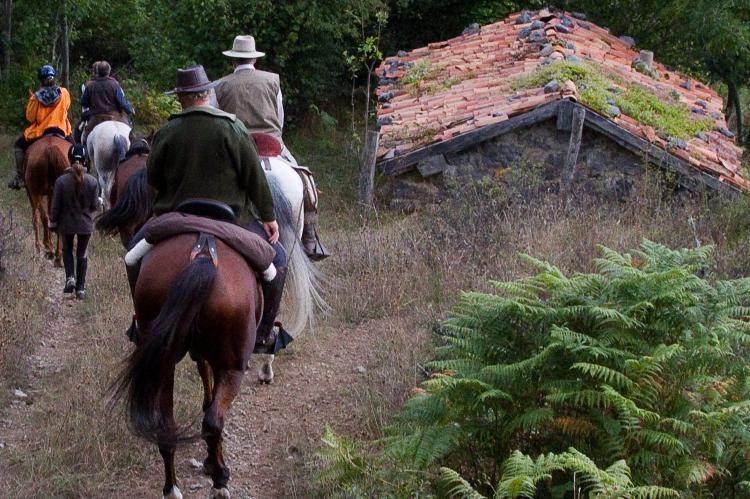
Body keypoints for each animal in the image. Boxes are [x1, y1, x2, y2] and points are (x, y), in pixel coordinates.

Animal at [23, 135, 69, 264]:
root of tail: (50, 149)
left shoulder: (31, 193)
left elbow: (36, 218)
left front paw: (40, 246)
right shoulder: (51, 194)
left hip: (35, 193)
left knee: (42, 217)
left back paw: (48, 247)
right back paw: (59, 257)